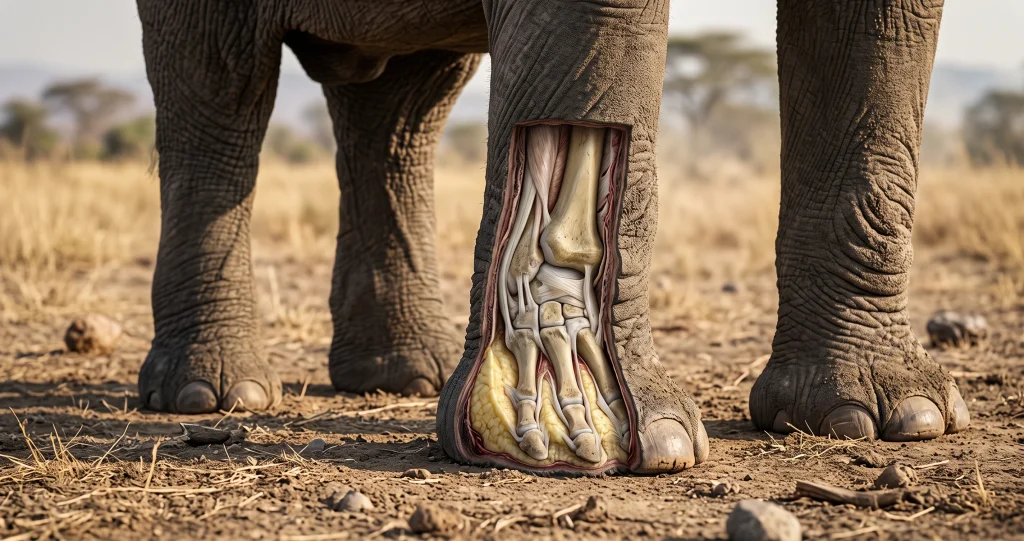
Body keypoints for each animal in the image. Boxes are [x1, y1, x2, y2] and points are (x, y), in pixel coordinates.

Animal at [137, 0, 969, 475]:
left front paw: (891, 419)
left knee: (402, 107)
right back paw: (211, 394)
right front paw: (652, 441)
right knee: (219, 90)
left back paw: (403, 376)